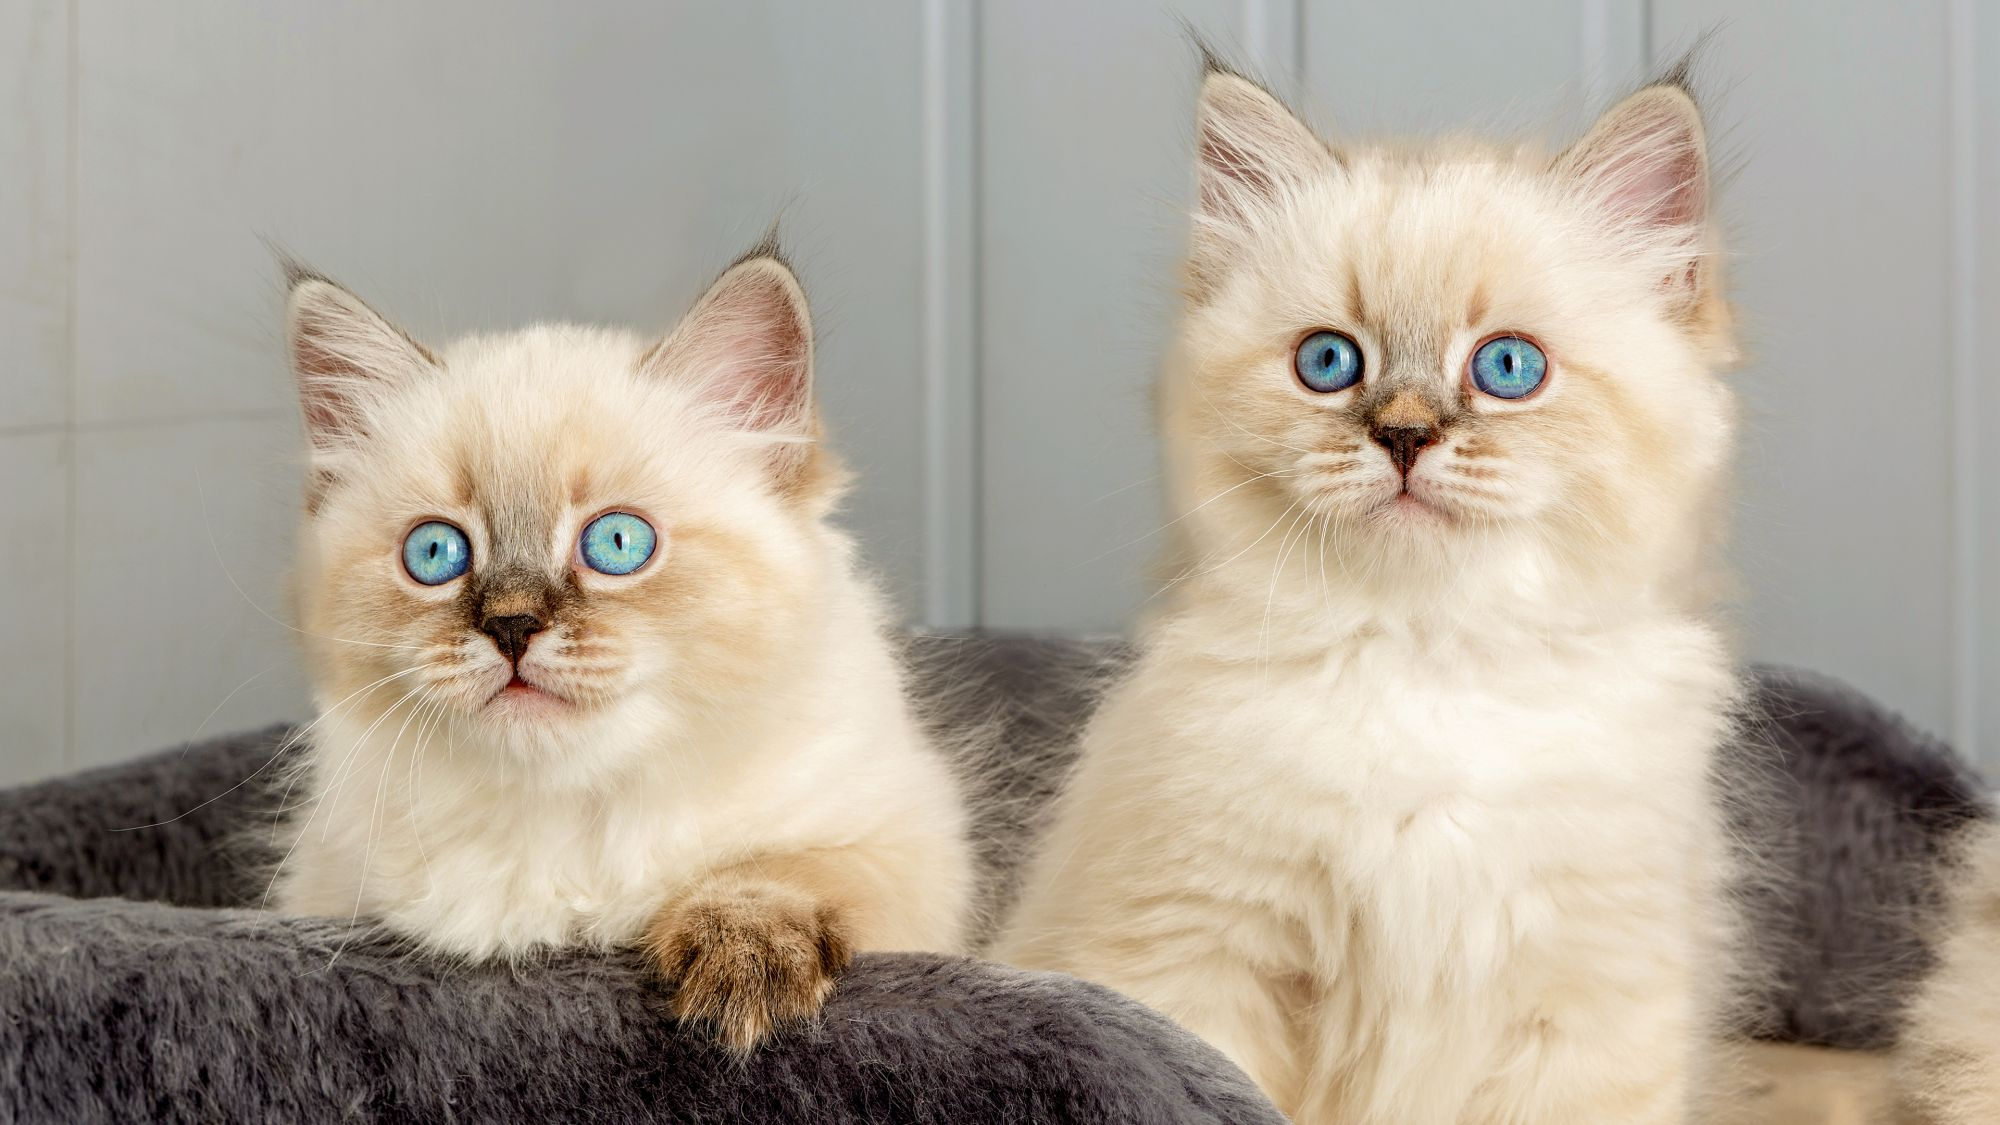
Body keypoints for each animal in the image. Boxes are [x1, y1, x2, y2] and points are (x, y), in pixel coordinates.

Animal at [270, 241, 972, 1048]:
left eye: (617, 543)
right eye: (437, 553)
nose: (512, 625)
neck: (575, 816)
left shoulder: (905, 841)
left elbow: (785, 871)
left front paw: (742, 968)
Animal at [1000, 57, 1752, 1112]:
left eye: (1508, 367)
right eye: (1328, 361)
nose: (1403, 435)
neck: (1424, 654)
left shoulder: (1584, 1002)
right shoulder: (1202, 952)